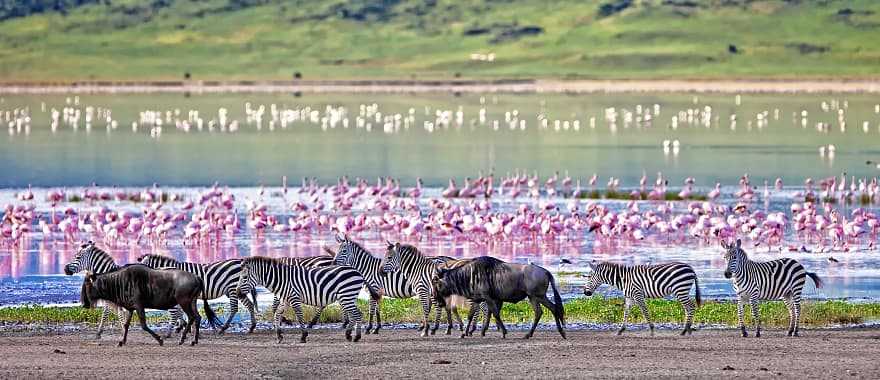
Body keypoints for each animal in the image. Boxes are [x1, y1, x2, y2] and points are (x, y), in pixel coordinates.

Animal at [235, 256, 370, 342]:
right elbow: (277, 315)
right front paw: (279, 335)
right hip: (347, 297)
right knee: (354, 314)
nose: (237, 294)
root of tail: (357, 272)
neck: (282, 279)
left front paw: (303, 336)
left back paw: (356, 337)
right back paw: (348, 335)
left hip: (347, 296)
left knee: (357, 314)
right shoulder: (285, 300)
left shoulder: (294, 298)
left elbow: (299, 316)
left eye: (245, 277)